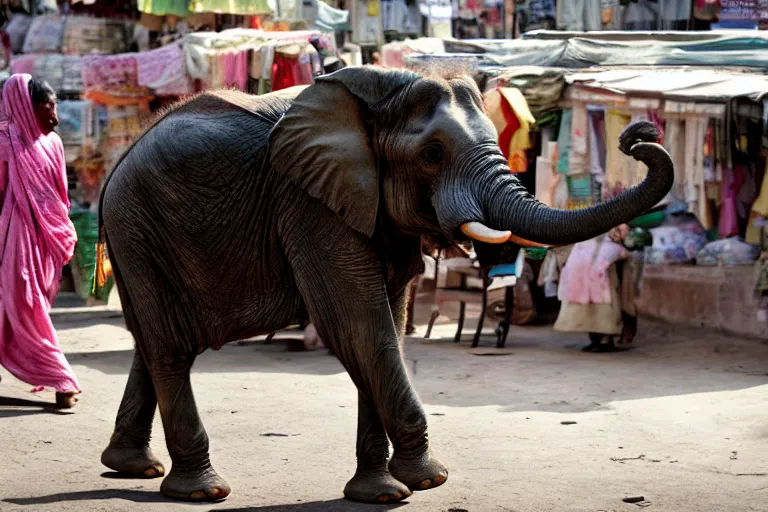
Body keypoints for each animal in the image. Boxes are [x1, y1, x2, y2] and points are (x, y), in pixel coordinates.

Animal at [97, 65, 672, 504]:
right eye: (433, 154)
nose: (638, 136)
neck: (382, 93)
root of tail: (119, 159)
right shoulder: (307, 203)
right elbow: (359, 325)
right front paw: (429, 480)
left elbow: (386, 328)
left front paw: (380, 494)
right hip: (138, 224)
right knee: (170, 346)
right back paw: (201, 491)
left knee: (153, 342)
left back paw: (134, 467)